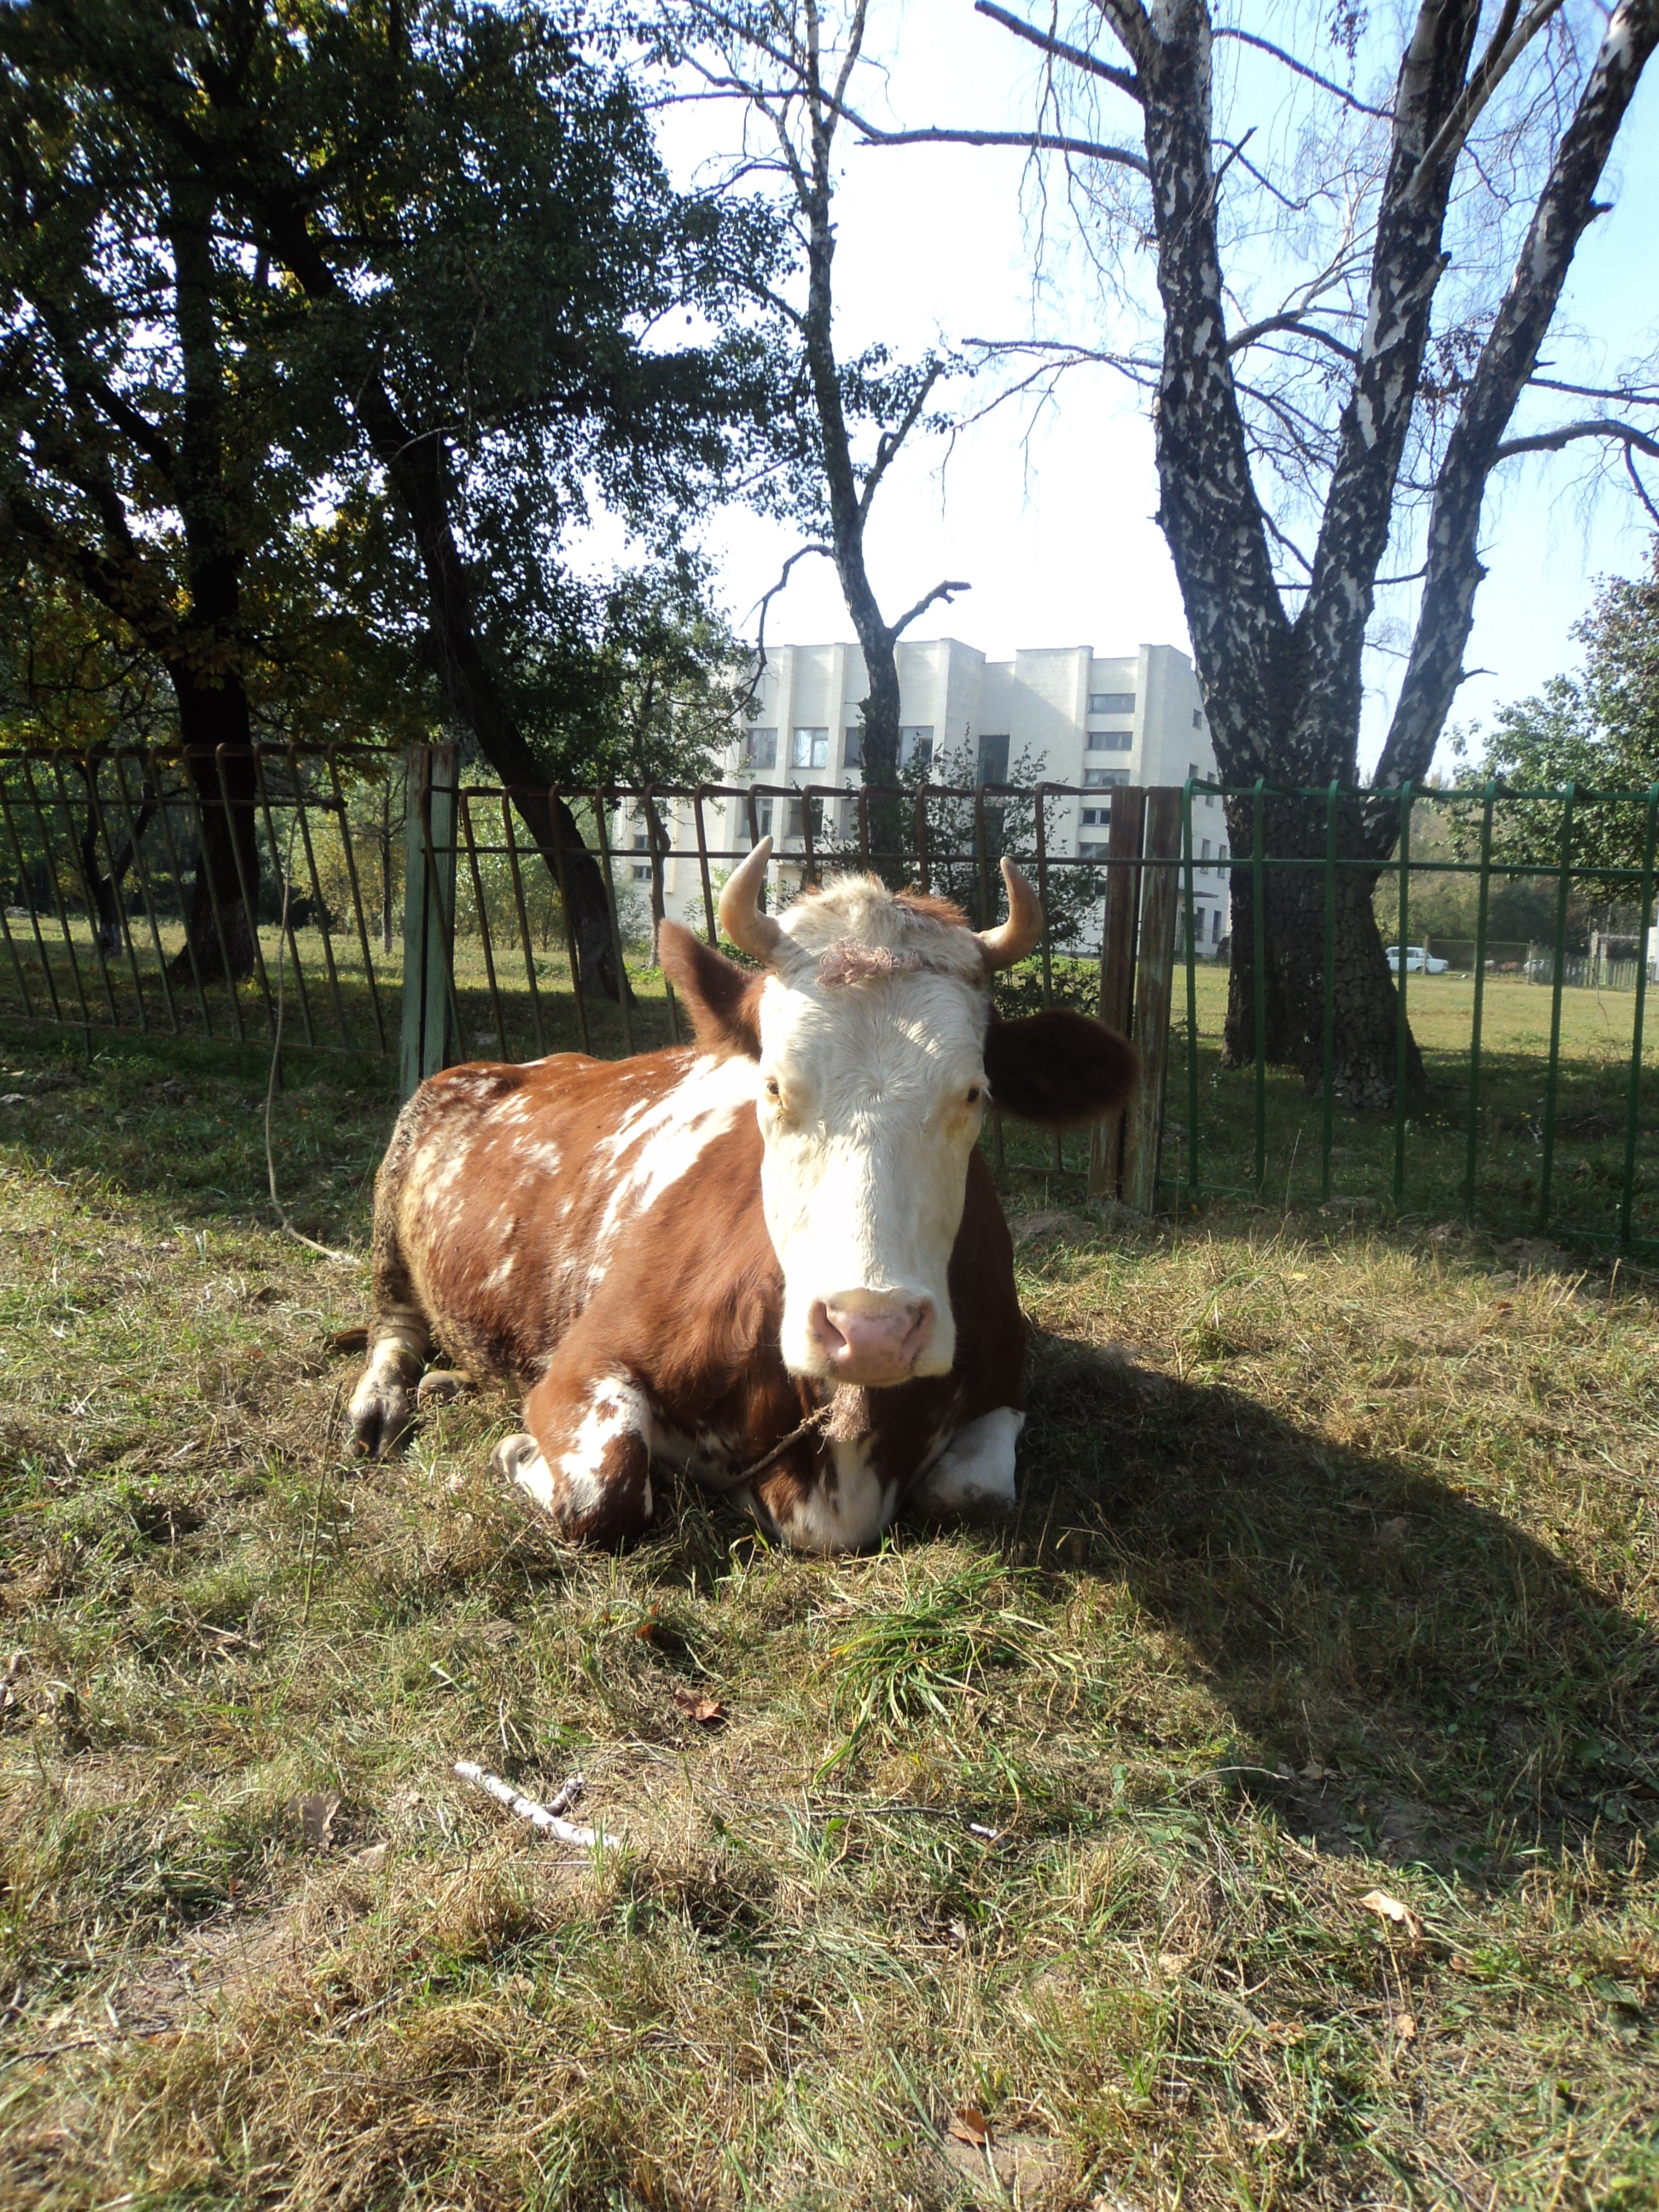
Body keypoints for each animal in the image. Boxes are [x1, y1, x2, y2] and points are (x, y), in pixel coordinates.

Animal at [345, 845, 1141, 1557]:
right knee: (394, 1323)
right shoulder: (586, 1360)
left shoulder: (1004, 1380)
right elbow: (606, 1488)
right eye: (773, 1084)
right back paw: (383, 1401)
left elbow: (972, 1493)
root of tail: (534, 1061)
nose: (872, 1329)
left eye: (974, 1092)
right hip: (396, 1186)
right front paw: (516, 1449)